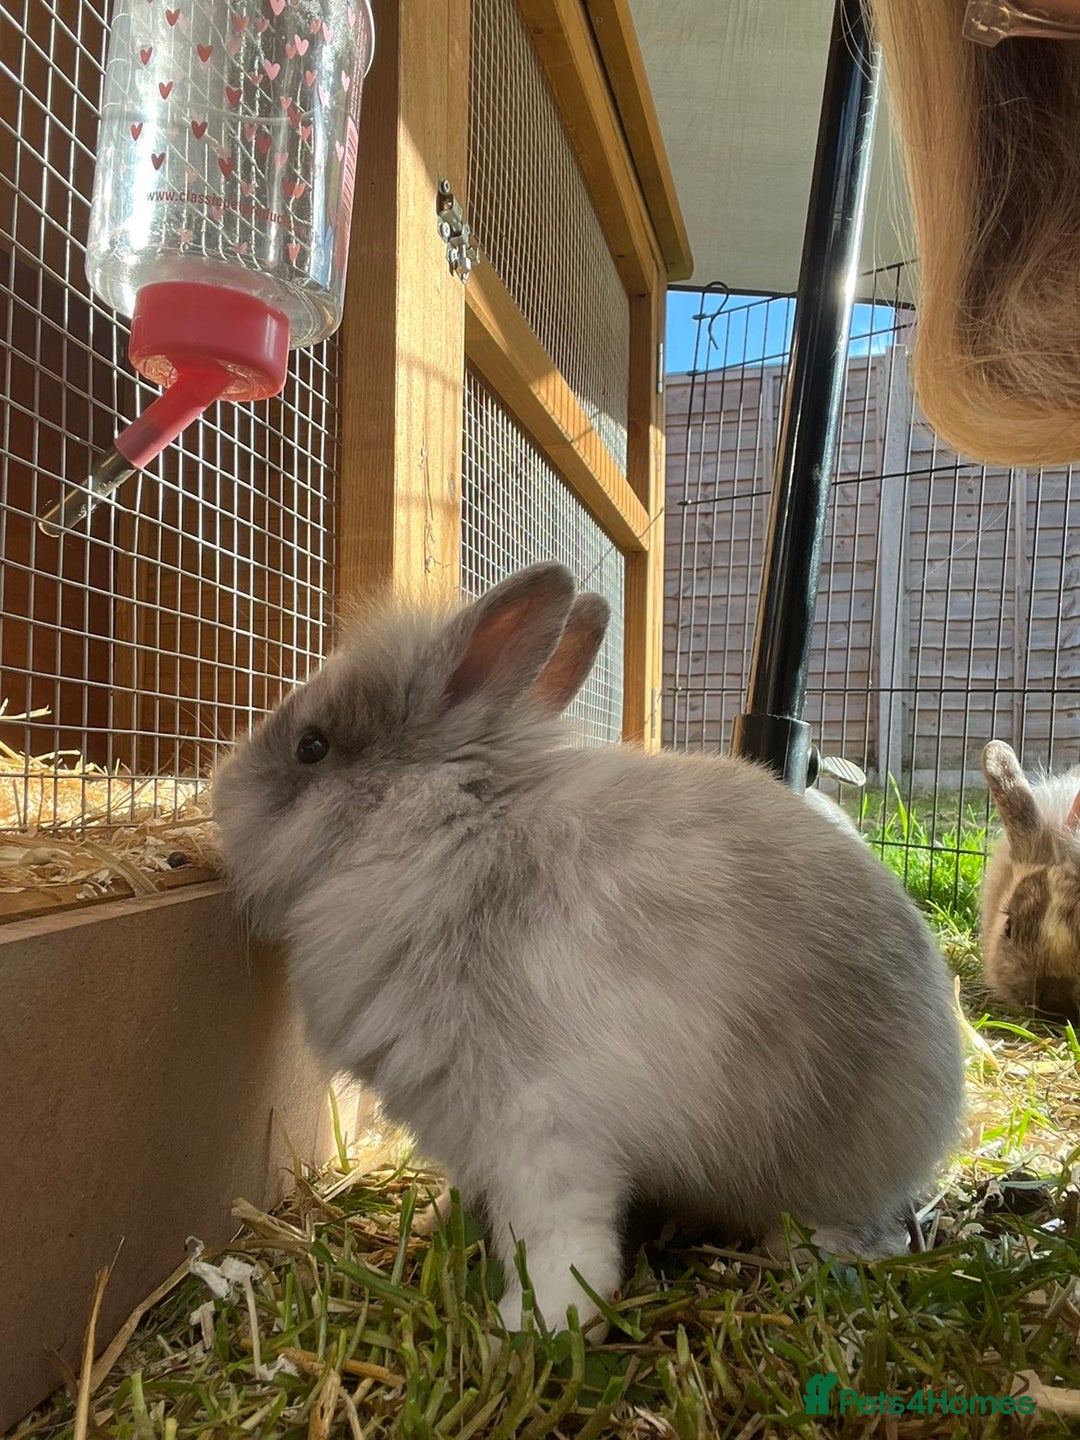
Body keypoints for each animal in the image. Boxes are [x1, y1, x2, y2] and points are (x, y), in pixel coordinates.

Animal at [213, 563, 965, 1338]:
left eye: (312, 746)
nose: (218, 786)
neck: (437, 835)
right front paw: (437, 1220)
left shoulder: (541, 1122)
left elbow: (559, 1236)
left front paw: (539, 1323)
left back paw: (799, 1250)